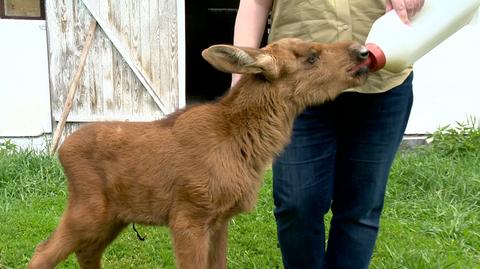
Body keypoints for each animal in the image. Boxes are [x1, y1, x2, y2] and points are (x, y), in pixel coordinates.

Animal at [28, 37, 370, 268]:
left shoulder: (219, 220)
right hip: (88, 210)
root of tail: (61, 150)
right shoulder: (189, 216)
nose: (363, 51)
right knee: (43, 252)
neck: (246, 149)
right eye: (311, 57)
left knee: (86, 252)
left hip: (115, 217)